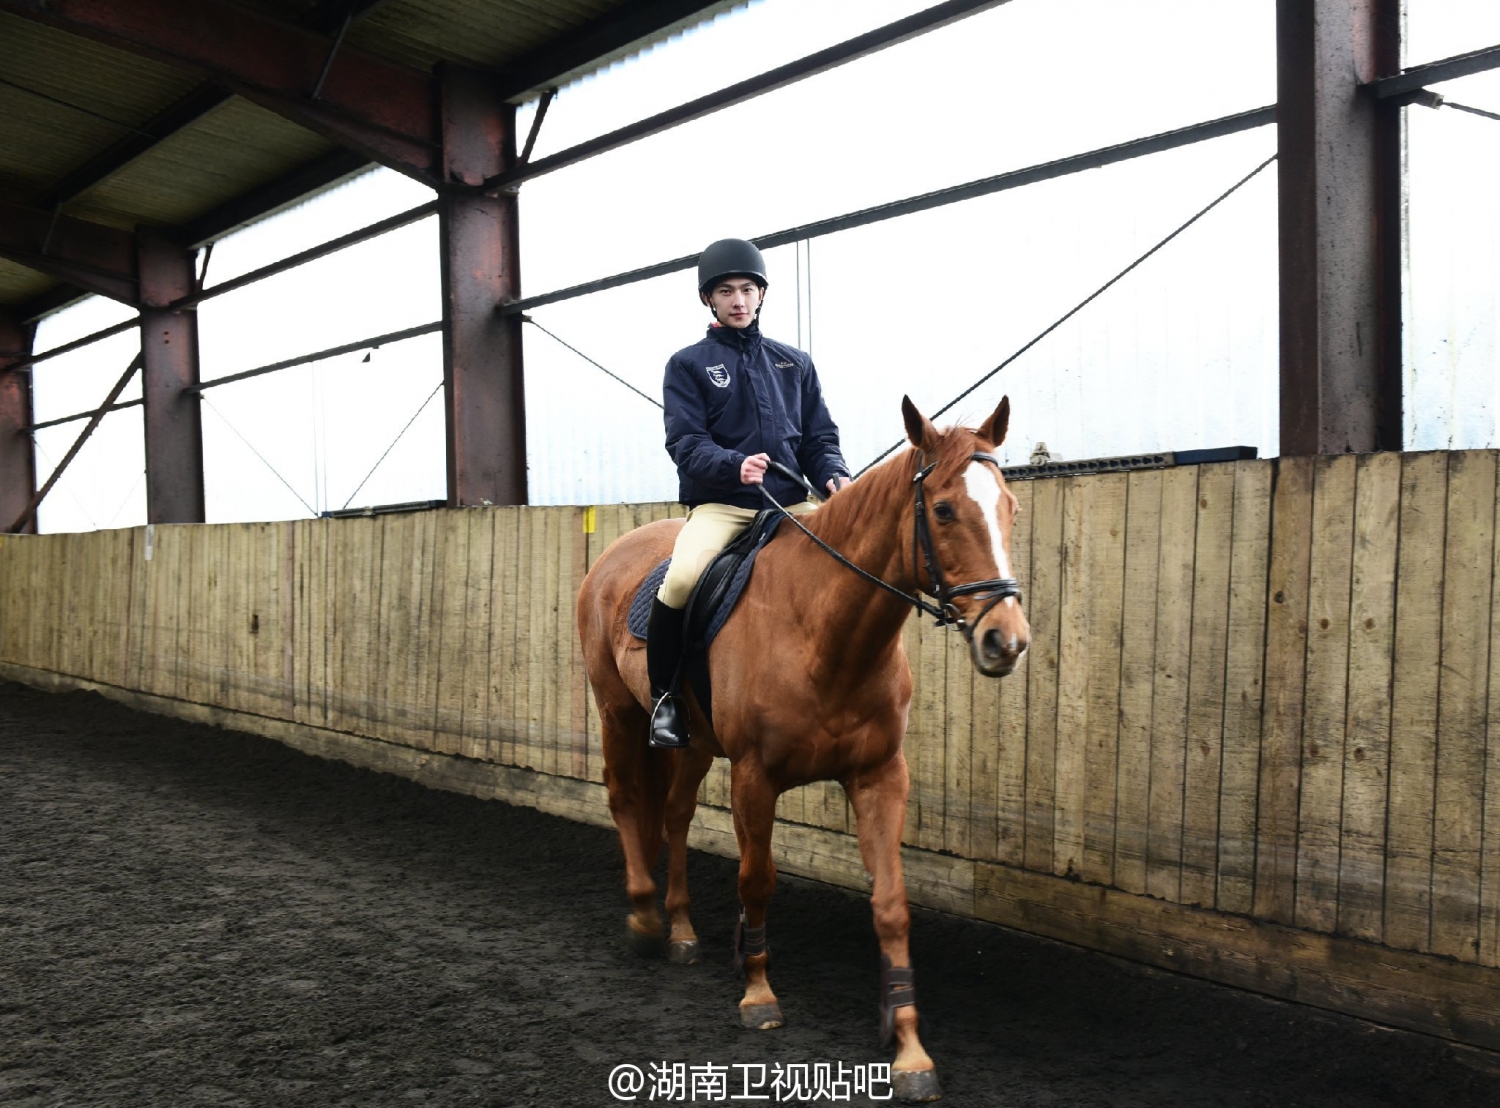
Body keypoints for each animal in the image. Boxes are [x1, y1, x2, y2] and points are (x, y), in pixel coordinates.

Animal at [576, 395, 1032, 1103]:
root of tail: (614, 554)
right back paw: (647, 921)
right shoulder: (754, 777)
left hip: (691, 743)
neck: (822, 631)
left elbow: (891, 906)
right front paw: (758, 994)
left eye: (1010, 507)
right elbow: (757, 880)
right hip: (618, 714)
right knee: (627, 800)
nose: (1004, 641)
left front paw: (909, 1048)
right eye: (944, 510)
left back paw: (681, 930)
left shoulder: (879, 777)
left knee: (674, 814)